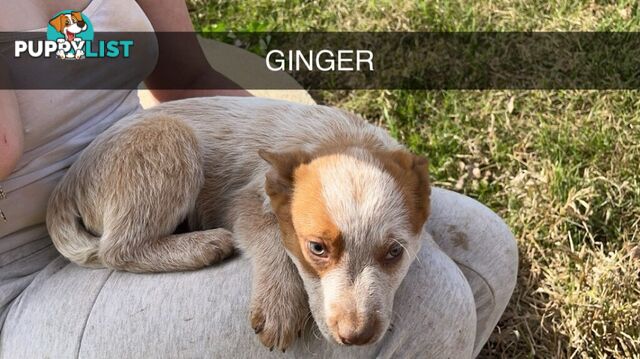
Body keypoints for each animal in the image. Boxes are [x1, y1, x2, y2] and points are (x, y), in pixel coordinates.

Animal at [47, 96, 432, 352]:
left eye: (395, 252)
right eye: (317, 248)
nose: (356, 336)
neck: (346, 141)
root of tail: (64, 189)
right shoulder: (245, 200)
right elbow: (273, 240)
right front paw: (279, 306)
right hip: (167, 140)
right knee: (117, 248)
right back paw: (204, 245)